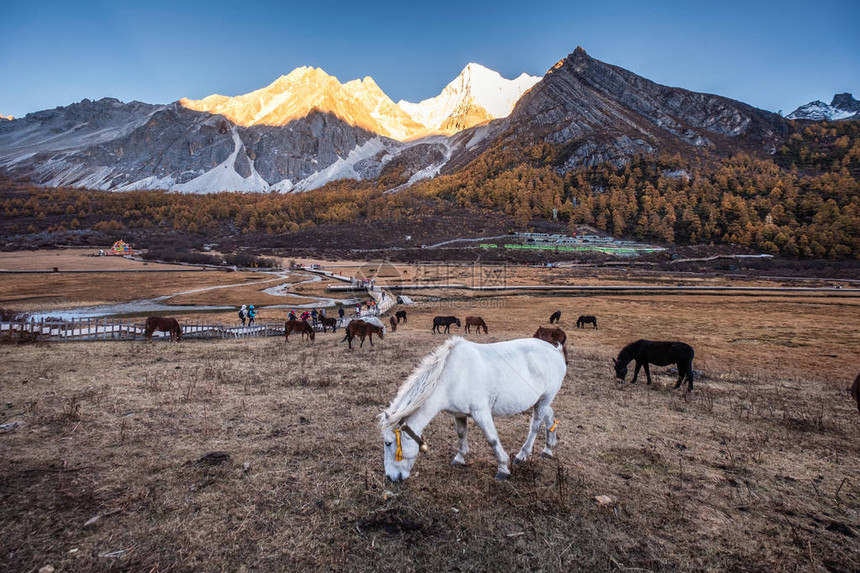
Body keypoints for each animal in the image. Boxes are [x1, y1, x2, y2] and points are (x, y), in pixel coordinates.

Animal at [380, 338, 568, 480]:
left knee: (535, 426)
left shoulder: (481, 413)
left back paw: (522, 455)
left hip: (543, 400)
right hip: (541, 401)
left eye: (388, 443)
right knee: (550, 416)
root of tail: (555, 350)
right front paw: (460, 458)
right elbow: (461, 434)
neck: (453, 377)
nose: (390, 477)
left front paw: (503, 468)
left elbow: (492, 439)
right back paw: (548, 448)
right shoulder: (458, 414)